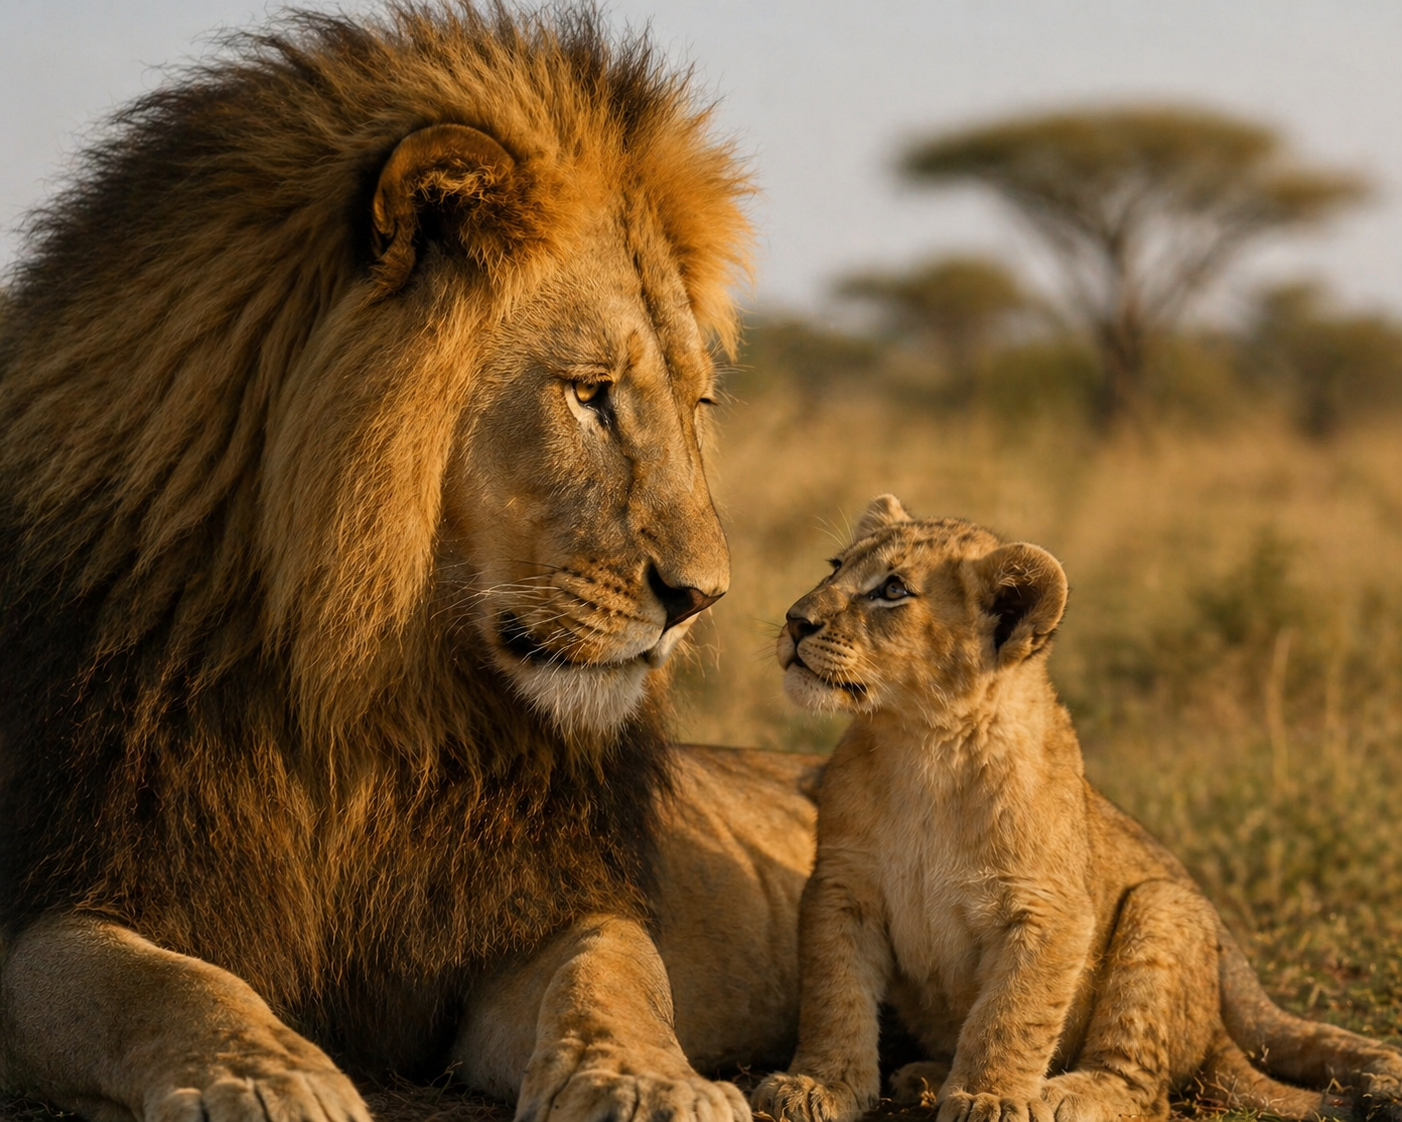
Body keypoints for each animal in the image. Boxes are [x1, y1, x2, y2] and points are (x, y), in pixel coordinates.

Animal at [0, 8, 817, 1122]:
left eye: (696, 405)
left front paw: (651, 1082)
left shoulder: (528, 909)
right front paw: (266, 1078)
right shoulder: (66, 883)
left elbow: (613, 975)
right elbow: (159, 982)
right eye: (589, 393)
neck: (355, 691)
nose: (701, 600)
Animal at [752, 496, 1402, 1122]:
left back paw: (1055, 1095)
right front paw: (819, 1085)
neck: (922, 745)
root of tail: (1220, 1030)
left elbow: (1011, 1014)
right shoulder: (842, 887)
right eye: (835, 566)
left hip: (1160, 906)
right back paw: (924, 1079)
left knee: (1144, 1087)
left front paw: (989, 1098)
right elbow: (835, 997)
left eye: (893, 589)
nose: (795, 619)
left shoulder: (1049, 910)